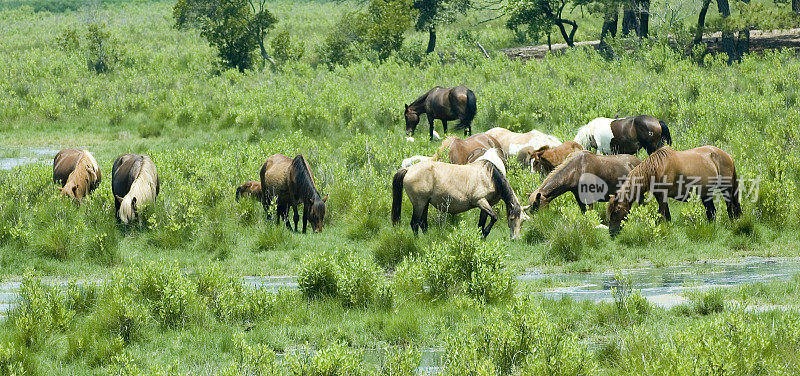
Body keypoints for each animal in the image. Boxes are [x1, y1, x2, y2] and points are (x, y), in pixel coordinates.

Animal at [390, 157, 528, 239]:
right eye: (511, 219)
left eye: (522, 221)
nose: (515, 238)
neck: (490, 177)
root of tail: (408, 169)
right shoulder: (480, 201)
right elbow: (494, 217)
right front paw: (484, 234)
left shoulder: (486, 205)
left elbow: (481, 224)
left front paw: (481, 237)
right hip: (419, 203)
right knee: (414, 223)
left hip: (425, 203)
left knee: (423, 224)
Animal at [608, 146, 744, 236]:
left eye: (616, 211)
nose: (612, 233)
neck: (657, 168)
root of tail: (728, 156)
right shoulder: (660, 196)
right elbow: (667, 216)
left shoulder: (662, 196)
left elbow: (661, 215)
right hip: (706, 194)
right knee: (712, 213)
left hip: (726, 189)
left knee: (730, 208)